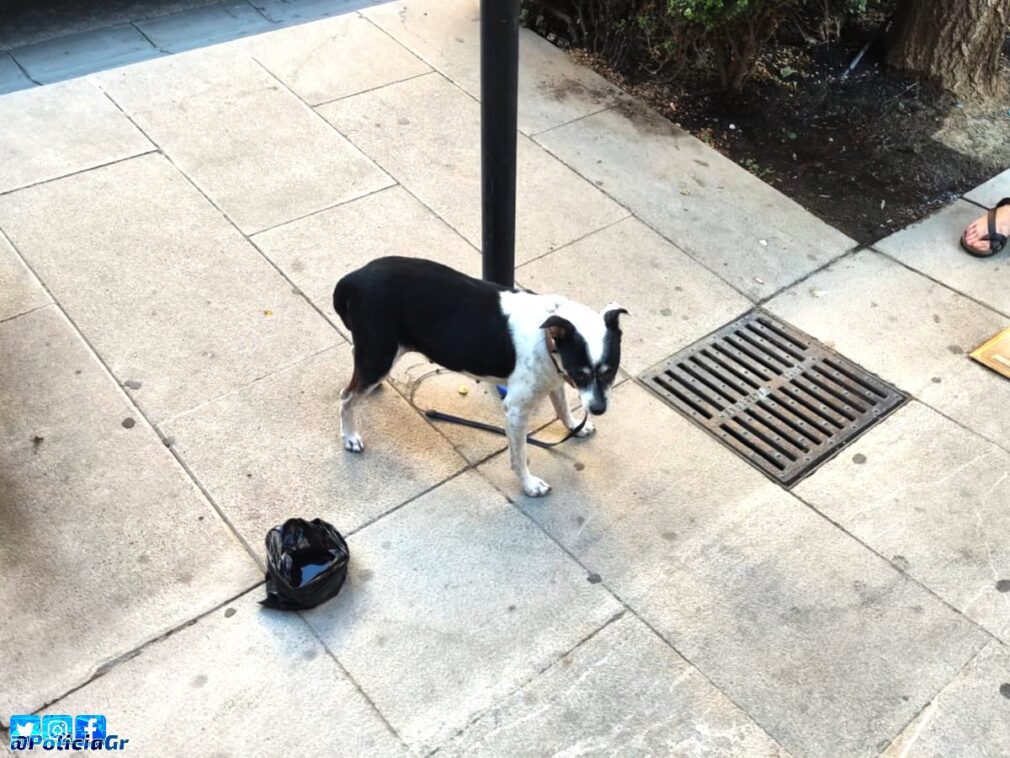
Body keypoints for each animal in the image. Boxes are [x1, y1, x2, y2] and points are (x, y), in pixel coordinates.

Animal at [335, 258, 626, 499]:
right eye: (580, 374)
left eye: (610, 371)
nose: (598, 409)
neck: (548, 339)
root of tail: (354, 277)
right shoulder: (516, 410)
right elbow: (520, 457)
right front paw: (529, 485)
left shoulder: (554, 380)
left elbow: (563, 408)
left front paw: (576, 426)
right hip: (379, 356)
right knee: (346, 398)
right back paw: (350, 436)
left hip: (377, 353)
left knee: (354, 359)